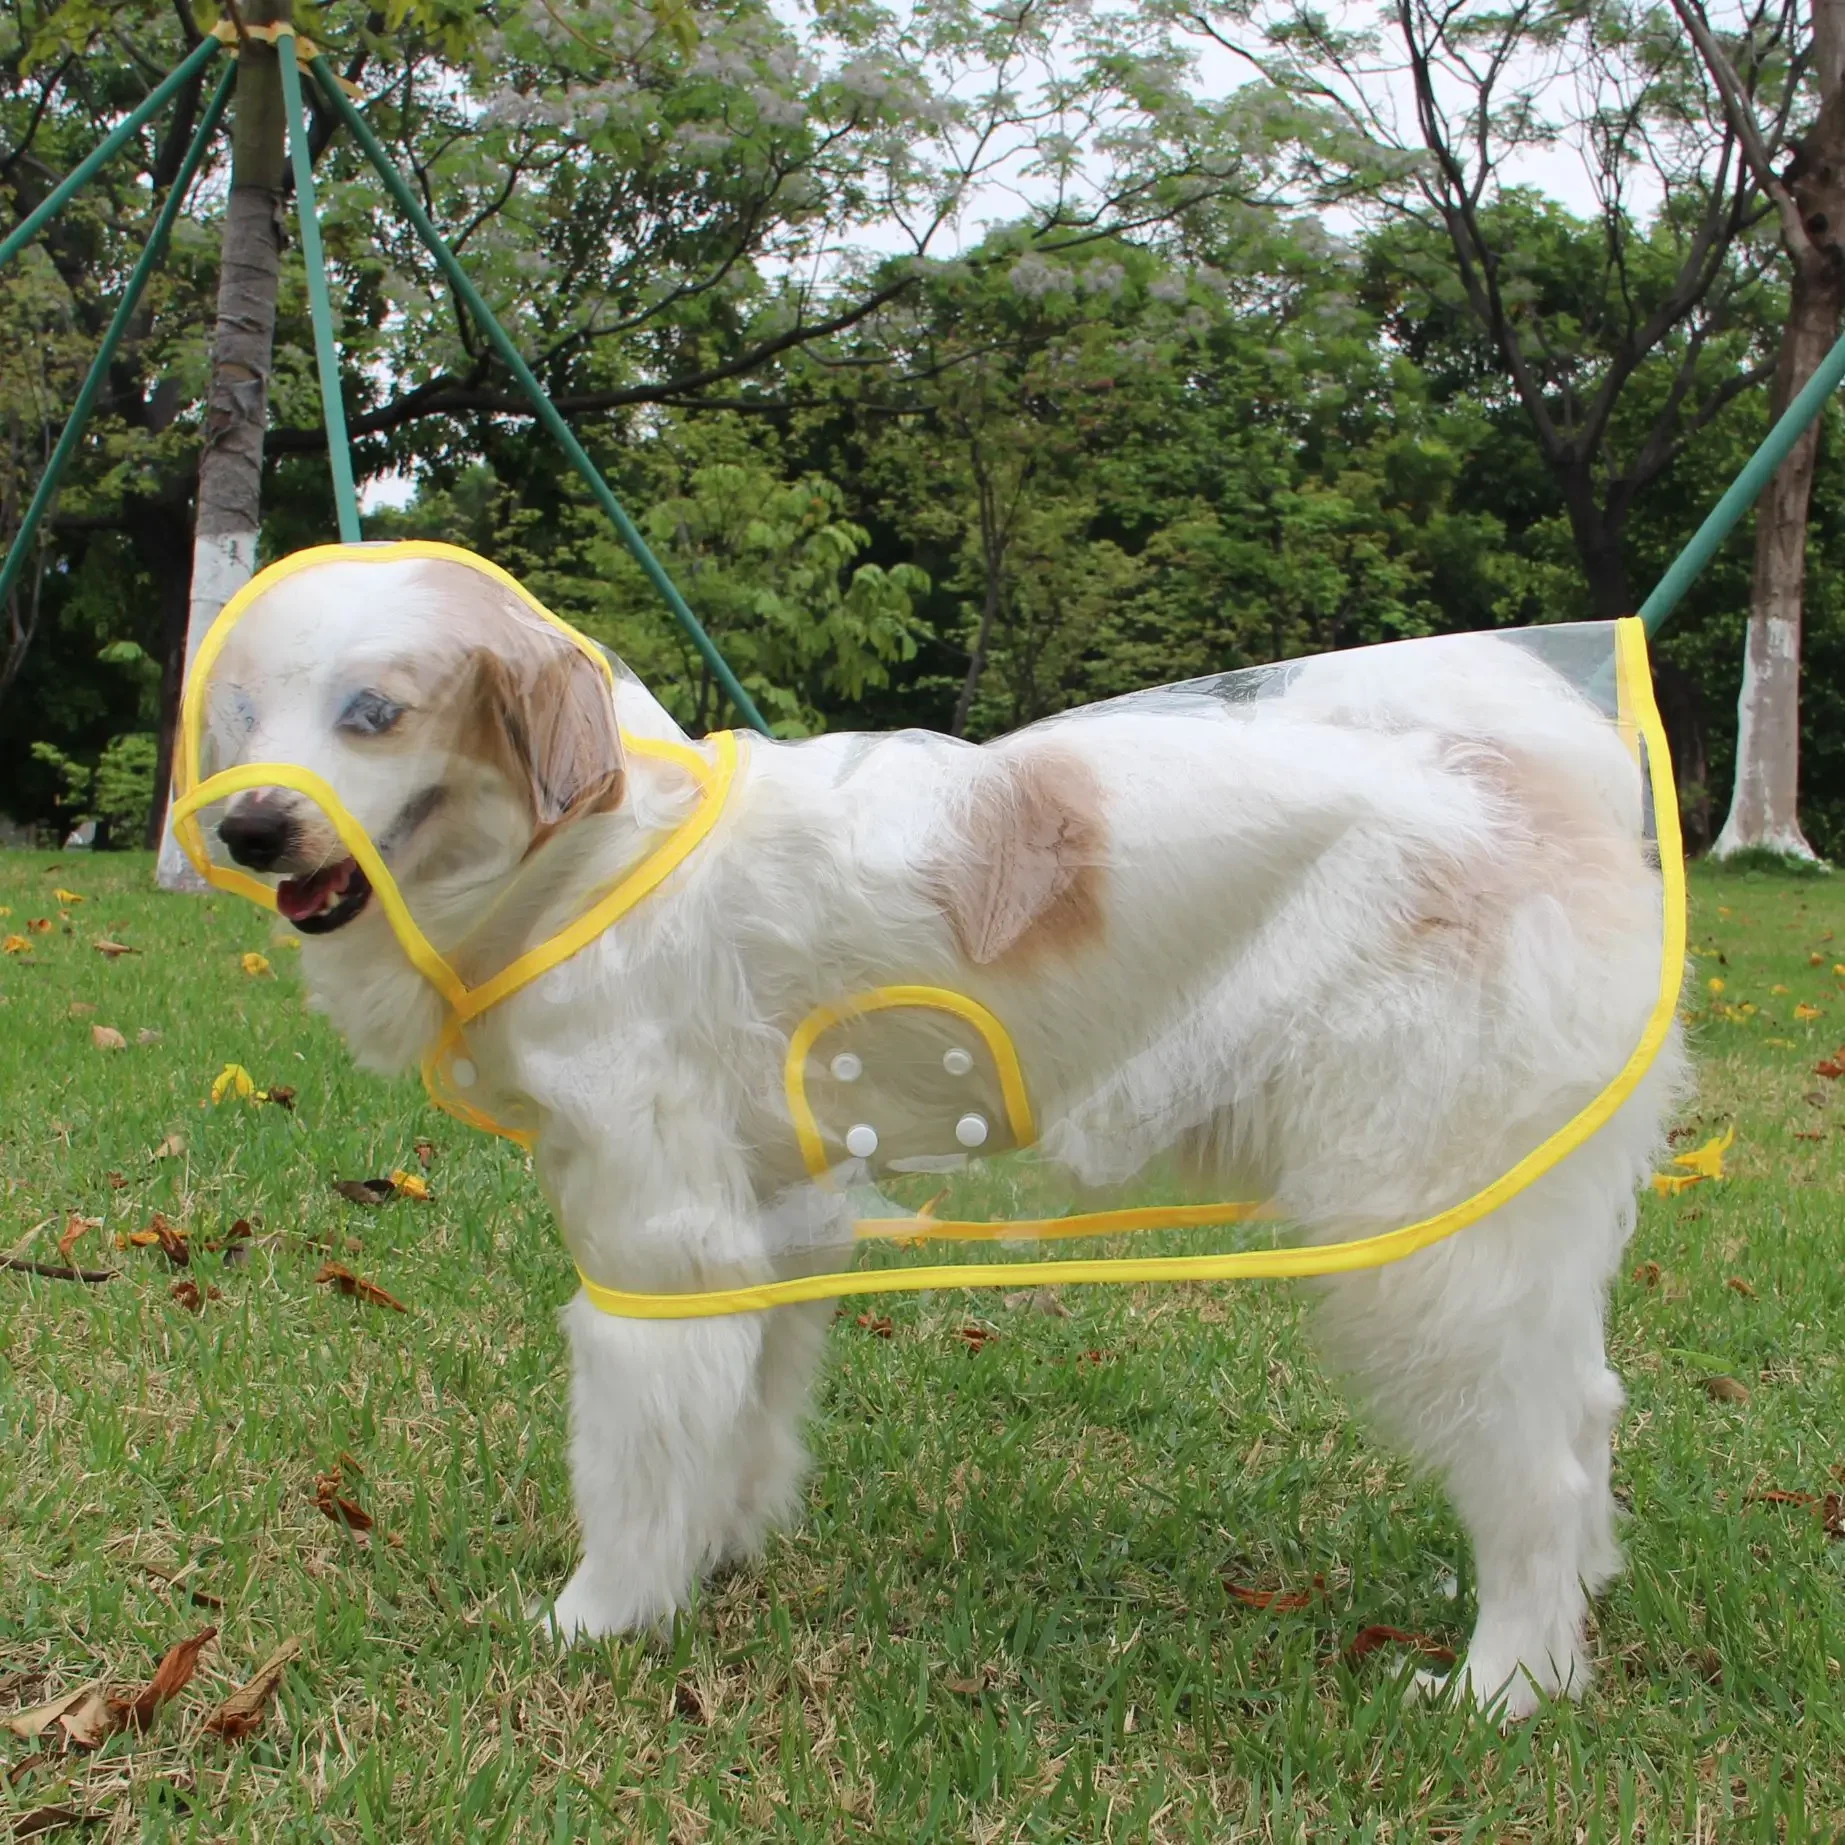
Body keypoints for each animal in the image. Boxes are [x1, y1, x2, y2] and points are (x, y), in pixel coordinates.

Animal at [202, 546, 1690, 1712]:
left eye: (374, 713)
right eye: (247, 715)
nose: (249, 828)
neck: (603, 857)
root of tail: (1506, 772)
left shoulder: (658, 1247)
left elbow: (635, 1458)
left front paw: (599, 1620)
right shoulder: (776, 1226)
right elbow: (741, 1427)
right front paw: (715, 1561)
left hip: (1427, 1244)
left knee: (1537, 1468)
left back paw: (1507, 1682)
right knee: (1583, 1414)